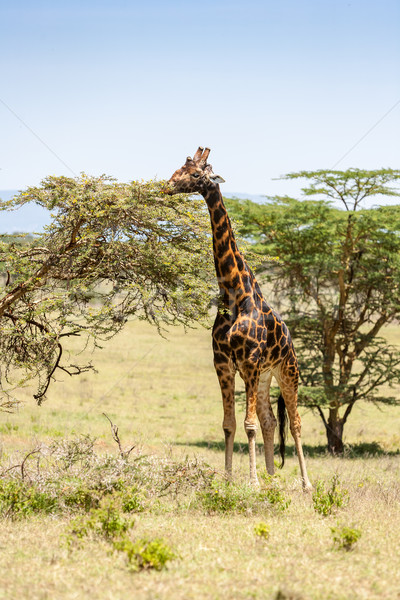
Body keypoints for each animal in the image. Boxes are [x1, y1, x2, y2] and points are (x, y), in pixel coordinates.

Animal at [167, 148, 310, 490]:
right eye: (178, 168)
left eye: (195, 174)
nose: (166, 186)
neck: (235, 292)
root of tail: (290, 341)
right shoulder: (223, 363)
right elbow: (230, 424)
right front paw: (232, 478)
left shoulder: (250, 362)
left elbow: (249, 425)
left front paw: (252, 482)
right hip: (265, 377)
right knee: (271, 420)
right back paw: (272, 478)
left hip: (287, 371)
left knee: (295, 423)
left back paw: (305, 484)